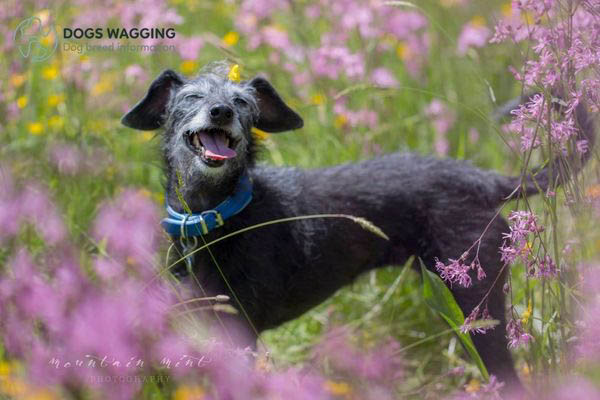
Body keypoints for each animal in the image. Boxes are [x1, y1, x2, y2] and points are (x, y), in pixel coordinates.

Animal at [122, 62, 596, 388]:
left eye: (242, 103)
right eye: (191, 97)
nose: (220, 111)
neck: (217, 217)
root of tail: (487, 181)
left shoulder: (241, 334)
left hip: (477, 306)